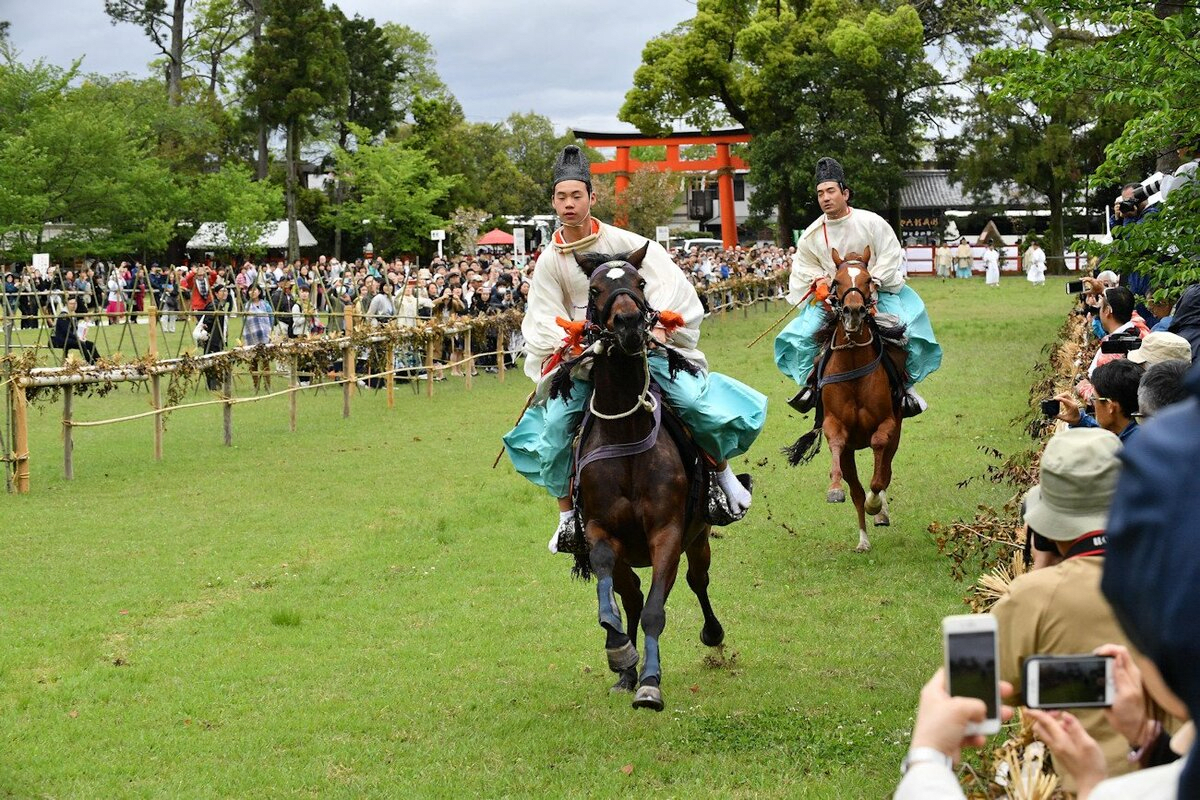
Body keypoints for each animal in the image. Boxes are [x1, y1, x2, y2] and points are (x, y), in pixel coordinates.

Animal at [556, 244, 724, 714]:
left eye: (640, 282)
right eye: (595, 289)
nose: (629, 323)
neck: (626, 433)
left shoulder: (667, 532)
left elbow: (654, 610)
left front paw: (651, 683)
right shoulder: (601, 529)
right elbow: (609, 584)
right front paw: (620, 651)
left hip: (697, 536)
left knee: (697, 581)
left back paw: (712, 634)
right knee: (628, 594)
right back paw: (625, 668)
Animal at [782, 247, 902, 554]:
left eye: (868, 279)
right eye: (836, 281)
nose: (853, 311)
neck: (853, 365)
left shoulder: (888, 424)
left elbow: (879, 456)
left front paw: (877, 504)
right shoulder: (835, 425)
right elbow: (836, 443)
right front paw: (834, 489)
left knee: (884, 471)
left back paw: (880, 511)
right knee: (857, 491)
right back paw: (863, 539)